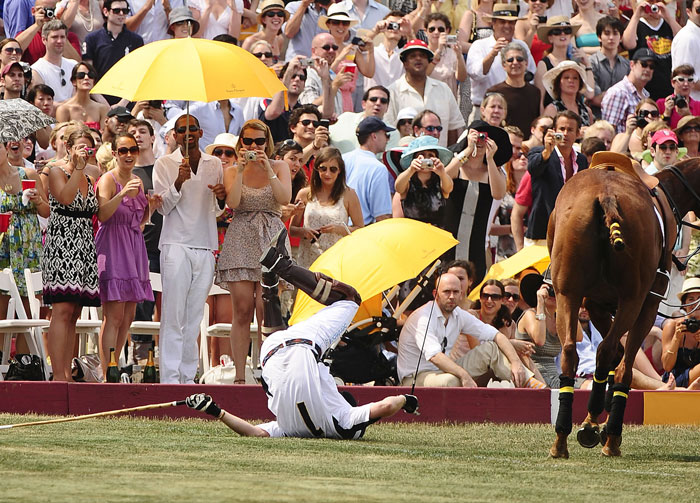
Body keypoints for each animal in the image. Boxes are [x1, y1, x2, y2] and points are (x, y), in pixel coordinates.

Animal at [548, 153, 700, 456]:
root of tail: (606, 196)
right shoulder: (647, 303)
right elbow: (621, 360)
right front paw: (605, 428)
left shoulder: (596, 303)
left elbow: (610, 354)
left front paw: (595, 421)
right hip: (633, 298)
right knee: (615, 358)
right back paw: (607, 436)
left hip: (567, 293)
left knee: (572, 352)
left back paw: (562, 437)